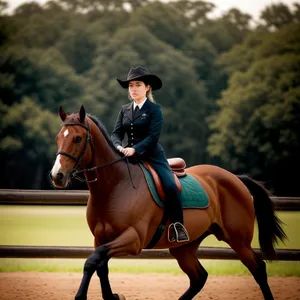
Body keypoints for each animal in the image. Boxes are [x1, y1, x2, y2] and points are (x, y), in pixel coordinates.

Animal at [51, 106, 286, 300]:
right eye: (58, 138)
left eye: (78, 138)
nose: (57, 176)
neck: (115, 186)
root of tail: (236, 178)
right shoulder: (100, 239)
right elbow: (100, 266)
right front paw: (112, 297)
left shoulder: (133, 239)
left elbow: (92, 261)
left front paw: (83, 296)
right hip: (184, 248)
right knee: (199, 277)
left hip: (238, 241)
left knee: (259, 270)